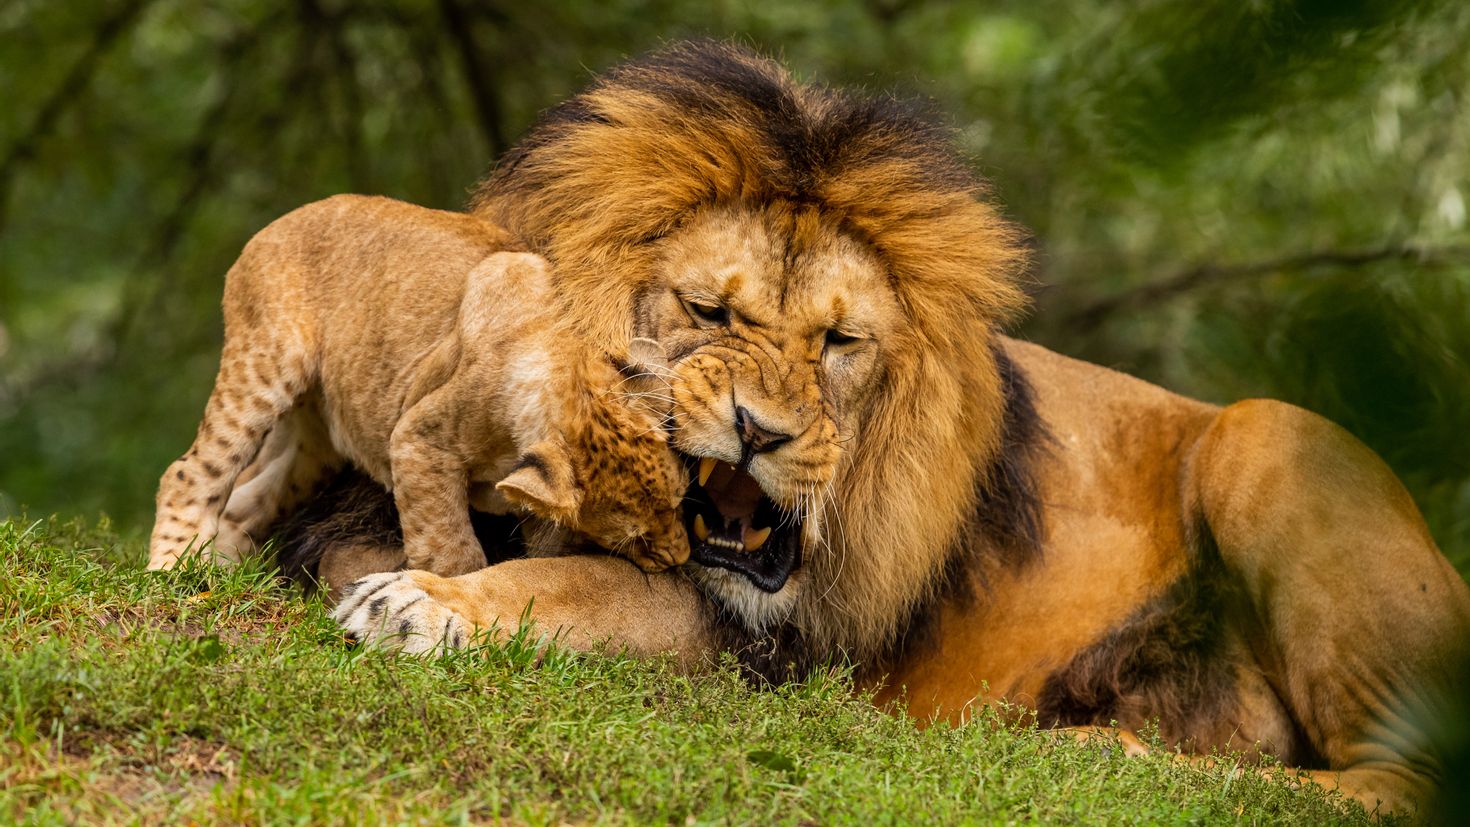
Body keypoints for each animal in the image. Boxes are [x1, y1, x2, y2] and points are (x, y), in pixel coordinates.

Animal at [313, 42, 1470, 810]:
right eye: (710, 312)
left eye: (840, 342)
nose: (761, 432)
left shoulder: (759, 649)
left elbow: (569, 588)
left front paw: (425, 605)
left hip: (1270, 435)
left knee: (1397, 783)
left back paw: (1098, 753)